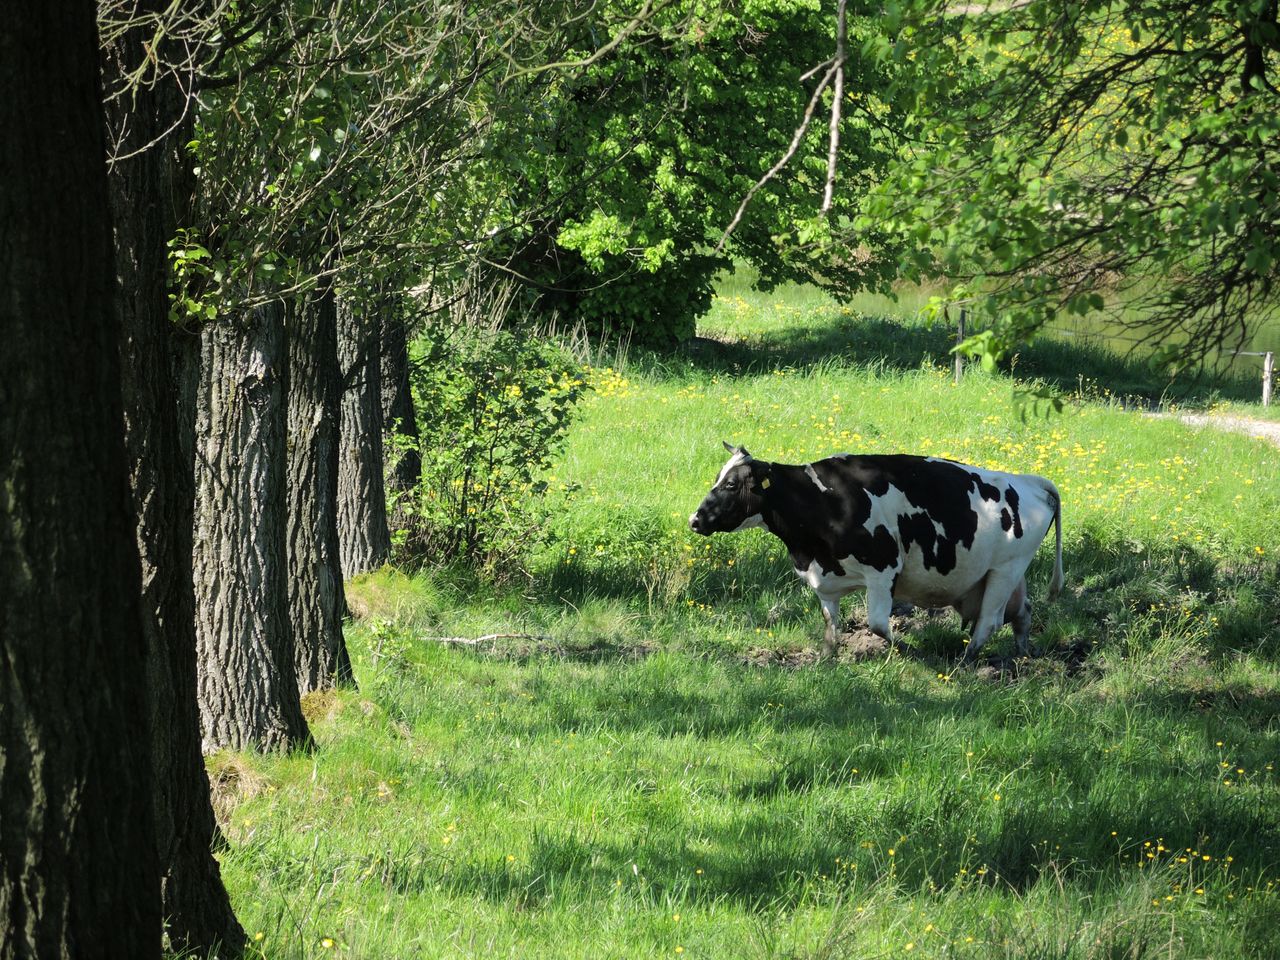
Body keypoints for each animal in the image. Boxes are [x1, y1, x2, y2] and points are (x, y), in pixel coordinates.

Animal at [689, 443, 1063, 663]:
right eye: (717, 477)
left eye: (731, 484)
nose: (695, 520)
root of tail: (1028, 481)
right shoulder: (825, 581)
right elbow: (830, 625)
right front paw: (825, 660)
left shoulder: (884, 570)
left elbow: (879, 625)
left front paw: (909, 651)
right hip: (1002, 576)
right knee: (1022, 612)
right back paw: (1022, 657)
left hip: (1005, 569)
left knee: (988, 622)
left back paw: (965, 662)